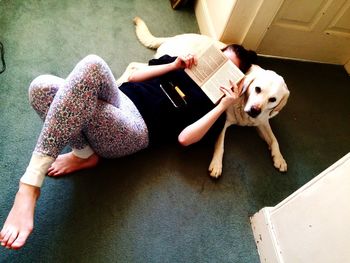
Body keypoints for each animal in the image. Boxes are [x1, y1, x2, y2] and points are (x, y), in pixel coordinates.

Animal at [117, 16, 290, 177]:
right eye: (257, 89)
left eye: (273, 100)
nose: (254, 110)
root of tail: (176, 36)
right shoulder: (224, 121)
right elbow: (220, 144)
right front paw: (217, 165)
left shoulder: (263, 121)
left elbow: (274, 139)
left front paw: (280, 158)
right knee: (134, 66)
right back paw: (119, 82)